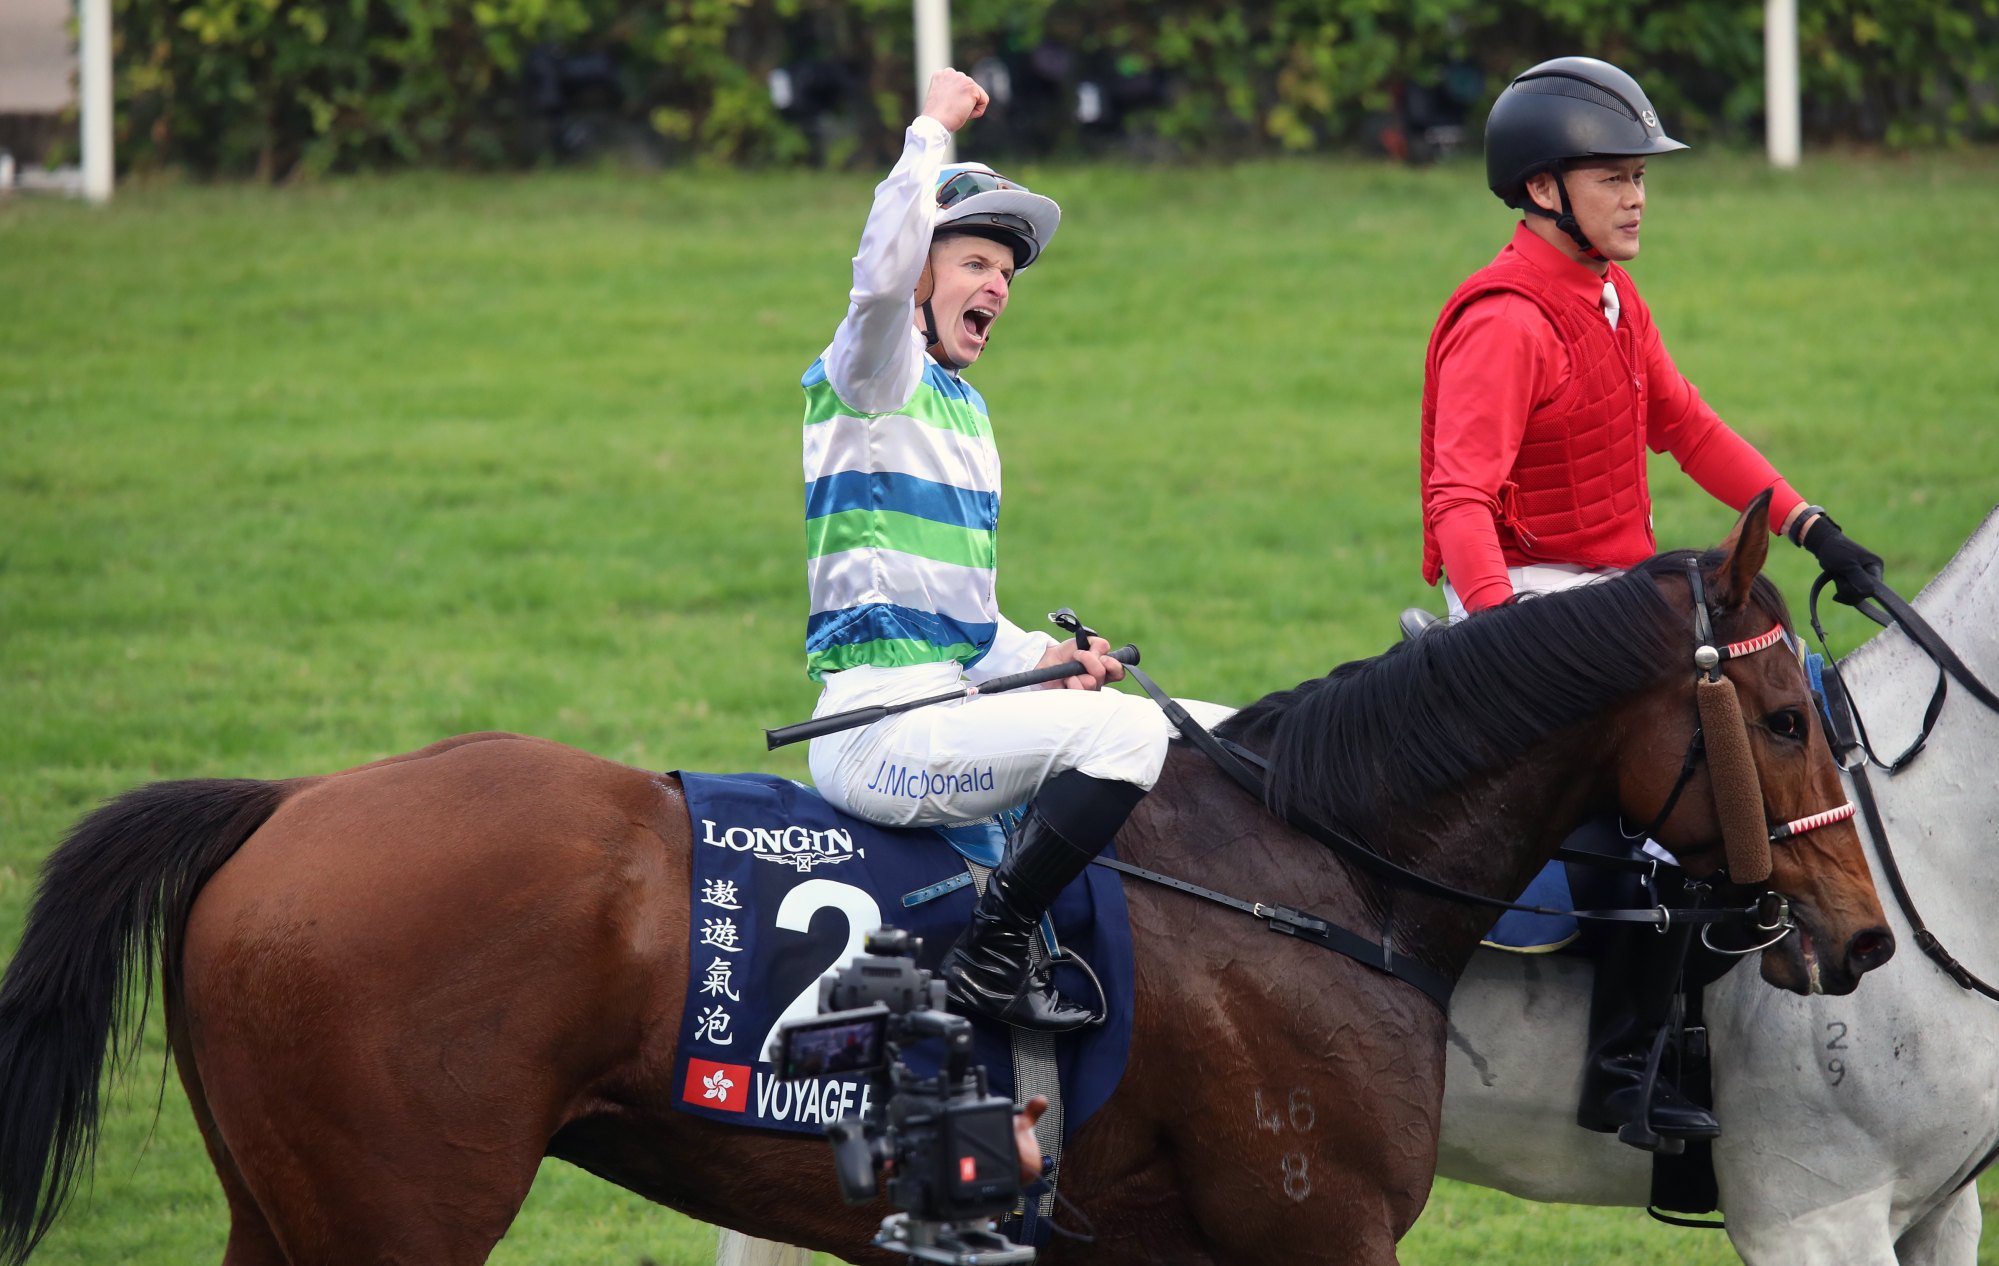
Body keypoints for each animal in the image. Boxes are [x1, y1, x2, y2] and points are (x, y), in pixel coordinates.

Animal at [0, 504, 1887, 1264]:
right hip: (393, 1217)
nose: (1862, 936)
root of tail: (287, 807)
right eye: (1786, 713)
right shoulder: (1314, 1227)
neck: (1305, 870)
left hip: (287, 1208)